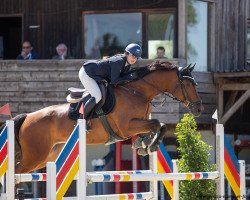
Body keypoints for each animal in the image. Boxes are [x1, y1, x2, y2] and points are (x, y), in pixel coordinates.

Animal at [4, 60, 203, 173]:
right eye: (188, 84)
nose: (199, 109)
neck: (137, 92)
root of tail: (28, 117)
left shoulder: (139, 123)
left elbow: (157, 126)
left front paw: (143, 145)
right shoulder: (126, 127)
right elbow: (157, 123)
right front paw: (150, 146)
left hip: (48, 155)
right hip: (35, 155)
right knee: (15, 171)